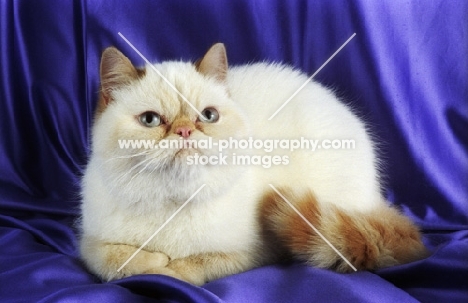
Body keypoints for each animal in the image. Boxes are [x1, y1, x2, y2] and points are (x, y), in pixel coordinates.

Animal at [78, 43, 426, 288]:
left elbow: (193, 266)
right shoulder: (88, 243)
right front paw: (154, 262)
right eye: (150, 120)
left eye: (209, 116)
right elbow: (117, 259)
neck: (172, 202)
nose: (185, 131)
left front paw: (169, 269)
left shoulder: (252, 253)